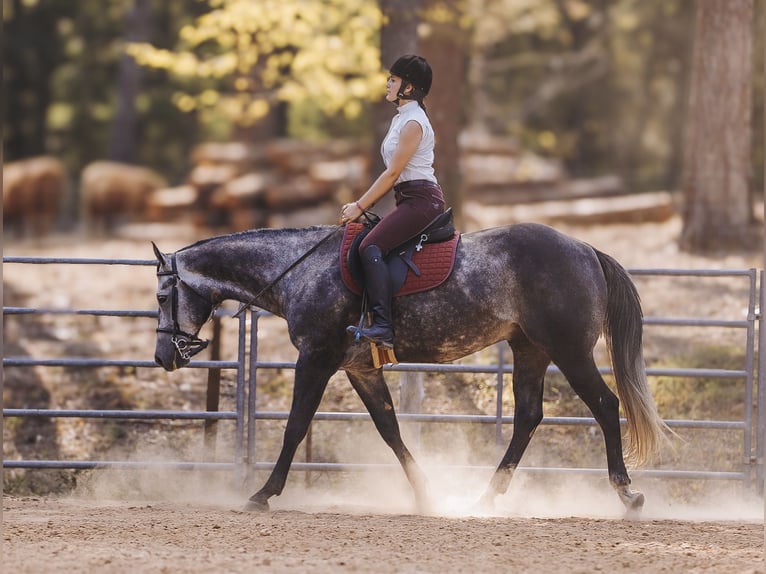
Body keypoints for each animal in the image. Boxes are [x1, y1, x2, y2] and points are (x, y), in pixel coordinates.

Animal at [153, 223, 668, 516]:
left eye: (161, 296)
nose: (163, 357)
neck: (301, 270)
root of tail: (584, 249)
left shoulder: (316, 359)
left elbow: (295, 426)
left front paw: (263, 494)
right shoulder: (359, 369)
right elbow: (390, 429)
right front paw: (426, 495)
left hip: (569, 351)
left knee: (605, 406)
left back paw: (627, 494)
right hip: (530, 350)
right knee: (527, 418)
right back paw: (485, 498)